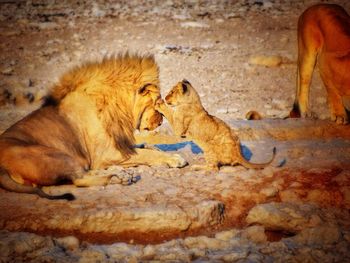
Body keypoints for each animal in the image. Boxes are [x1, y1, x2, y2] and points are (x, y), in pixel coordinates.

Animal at [0, 54, 187, 201]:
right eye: (158, 102)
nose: (161, 121)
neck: (118, 108)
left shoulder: (118, 144)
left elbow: (142, 147)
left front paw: (153, 146)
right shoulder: (106, 154)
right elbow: (146, 154)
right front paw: (174, 158)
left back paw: (121, 175)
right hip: (57, 155)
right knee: (79, 179)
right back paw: (118, 178)